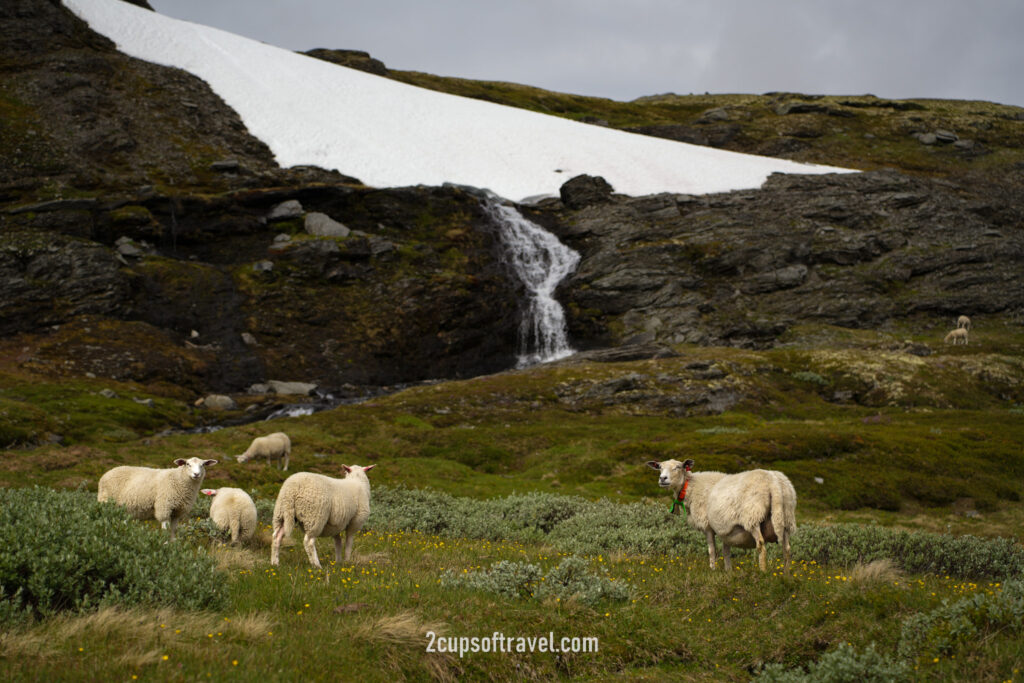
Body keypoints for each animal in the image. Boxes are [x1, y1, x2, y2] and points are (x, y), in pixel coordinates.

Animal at [643, 458, 794, 573]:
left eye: (678, 467)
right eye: (660, 467)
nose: (662, 479)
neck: (689, 487)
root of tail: (774, 482)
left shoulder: (708, 526)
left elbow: (712, 550)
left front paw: (713, 570)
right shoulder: (725, 529)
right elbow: (726, 551)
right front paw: (728, 571)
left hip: (753, 516)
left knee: (761, 545)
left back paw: (763, 572)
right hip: (786, 517)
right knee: (786, 548)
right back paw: (786, 574)